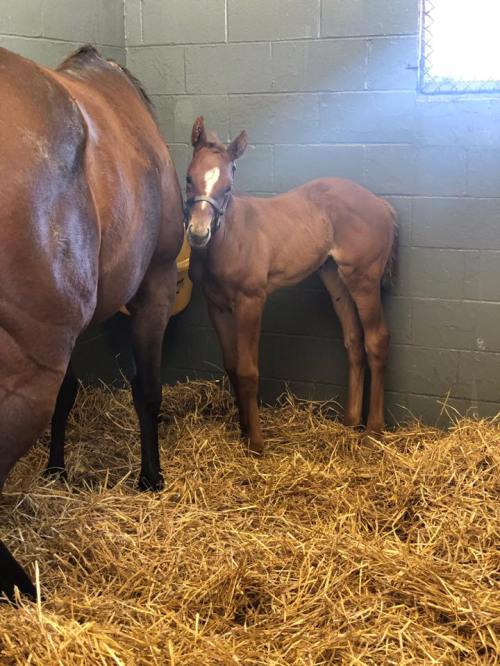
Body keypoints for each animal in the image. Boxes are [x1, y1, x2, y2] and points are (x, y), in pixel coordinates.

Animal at [184, 117, 397, 457]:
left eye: (227, 187)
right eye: (189, 179)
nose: (199, 233)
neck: (230, 238)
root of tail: (380, 203)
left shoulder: (251, 301)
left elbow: (247, 370)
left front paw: (256, 444)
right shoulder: (215, 304)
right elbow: (231, 365)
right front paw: (242, 430)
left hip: (364, 279)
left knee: (377, 339)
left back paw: (373, 430)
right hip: (334, 277)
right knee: (353, 340)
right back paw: (351, 422)